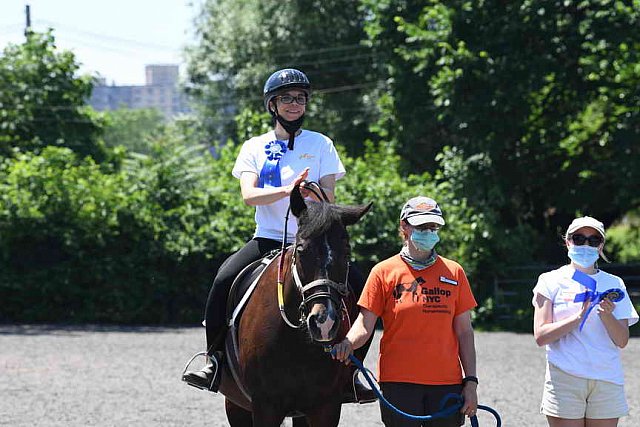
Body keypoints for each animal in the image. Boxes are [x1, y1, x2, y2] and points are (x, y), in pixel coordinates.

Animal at [218, 185, 372, 427]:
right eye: (301, 250)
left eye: (347, 252)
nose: (324, 322)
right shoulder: (265, 406)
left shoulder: (326, 407)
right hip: (236, 405)